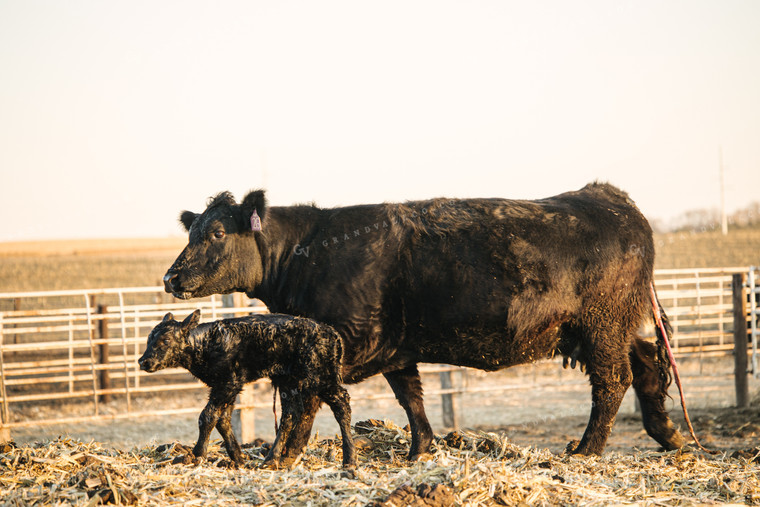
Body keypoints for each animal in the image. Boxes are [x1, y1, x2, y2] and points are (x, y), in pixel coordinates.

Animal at [137, 310, 356, 468]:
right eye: (148, 339)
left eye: (166, 340)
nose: (143, 361)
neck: (206, 344)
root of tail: (332, 334)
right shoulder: (227, 386)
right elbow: (223, 419)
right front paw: (238, 458)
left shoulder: (228, 382)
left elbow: (207, 416)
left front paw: (197, 454)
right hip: (289, 380)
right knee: (290, 414)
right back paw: (271, 459)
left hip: (321, 376)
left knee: (342, 403)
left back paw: (349, 461)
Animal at [165, 184, 688, 464]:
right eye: (193, 231)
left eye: (216, 233)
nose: (171, 276)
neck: (308, 251)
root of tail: (607, 196)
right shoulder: (397, 349)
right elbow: (411, 398)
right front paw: (421, 450)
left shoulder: (334, 346)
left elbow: (302, 403)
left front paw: (283, 456)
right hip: (613, 328)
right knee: (647, 366)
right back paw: (669, 435)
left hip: (602, 327)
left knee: (613, 380)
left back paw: (586, 450)